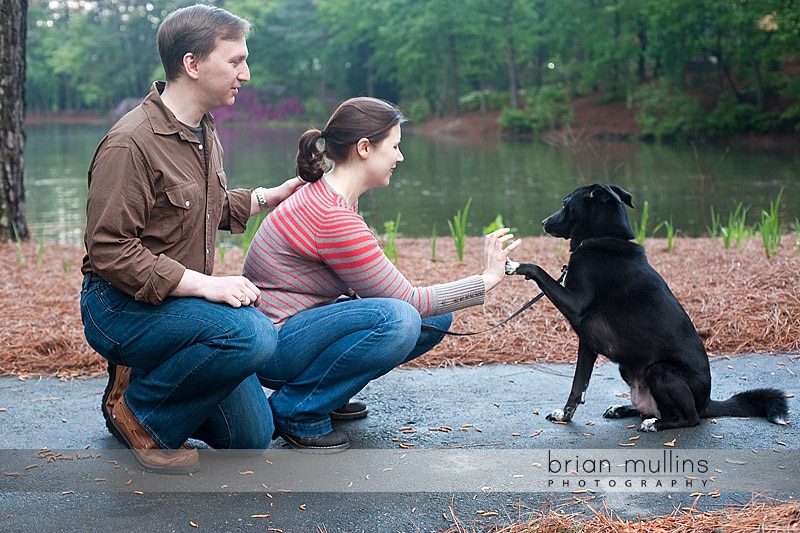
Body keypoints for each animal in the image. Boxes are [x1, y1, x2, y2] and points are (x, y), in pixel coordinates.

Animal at [506, 185, 788, 430]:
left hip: (660, 371)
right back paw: (623, 409)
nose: (543, 222)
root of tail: (707, 402)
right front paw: (564, 416)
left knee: (690, 418)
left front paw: (515, 264)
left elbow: (540, 271)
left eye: (566, 204)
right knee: (654, 408)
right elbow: (577, 386)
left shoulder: (575, 304)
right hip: (629, 367)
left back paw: (655, 424)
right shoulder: (587, 343)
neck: (602, 239)